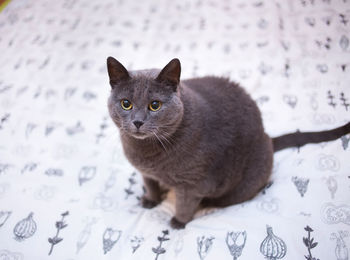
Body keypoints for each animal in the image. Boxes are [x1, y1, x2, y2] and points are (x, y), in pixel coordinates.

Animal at [106, 58, 350, 229]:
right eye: (126, 104)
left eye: (155, 105)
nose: (138, 121)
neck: (148, 153)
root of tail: (267, 137)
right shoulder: (146, 172)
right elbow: (151, 185)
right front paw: (150, 200)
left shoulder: (193, 182)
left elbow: (185, 202)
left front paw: (179, 222)